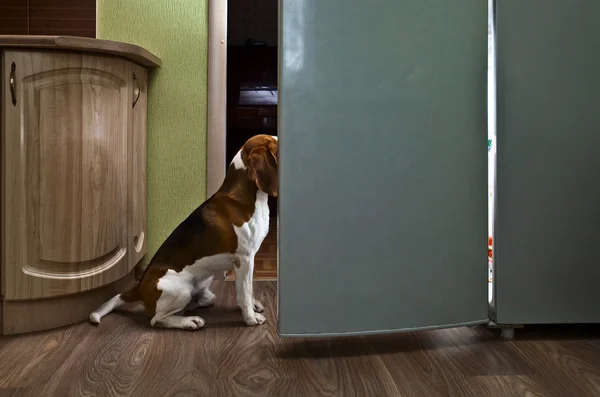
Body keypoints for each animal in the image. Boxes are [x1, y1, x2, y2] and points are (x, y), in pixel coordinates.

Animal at [88, 135, 278, 330]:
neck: (246, 198)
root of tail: (139, 287)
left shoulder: (247, 260)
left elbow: (248, 288)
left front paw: (253, 305)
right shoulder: (244, 258)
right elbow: (244, 291)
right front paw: (250, 317)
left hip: (203, 280)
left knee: (205, 299)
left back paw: (193, 306)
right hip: (182, 289)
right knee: (157, 320)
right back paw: (189, 321)